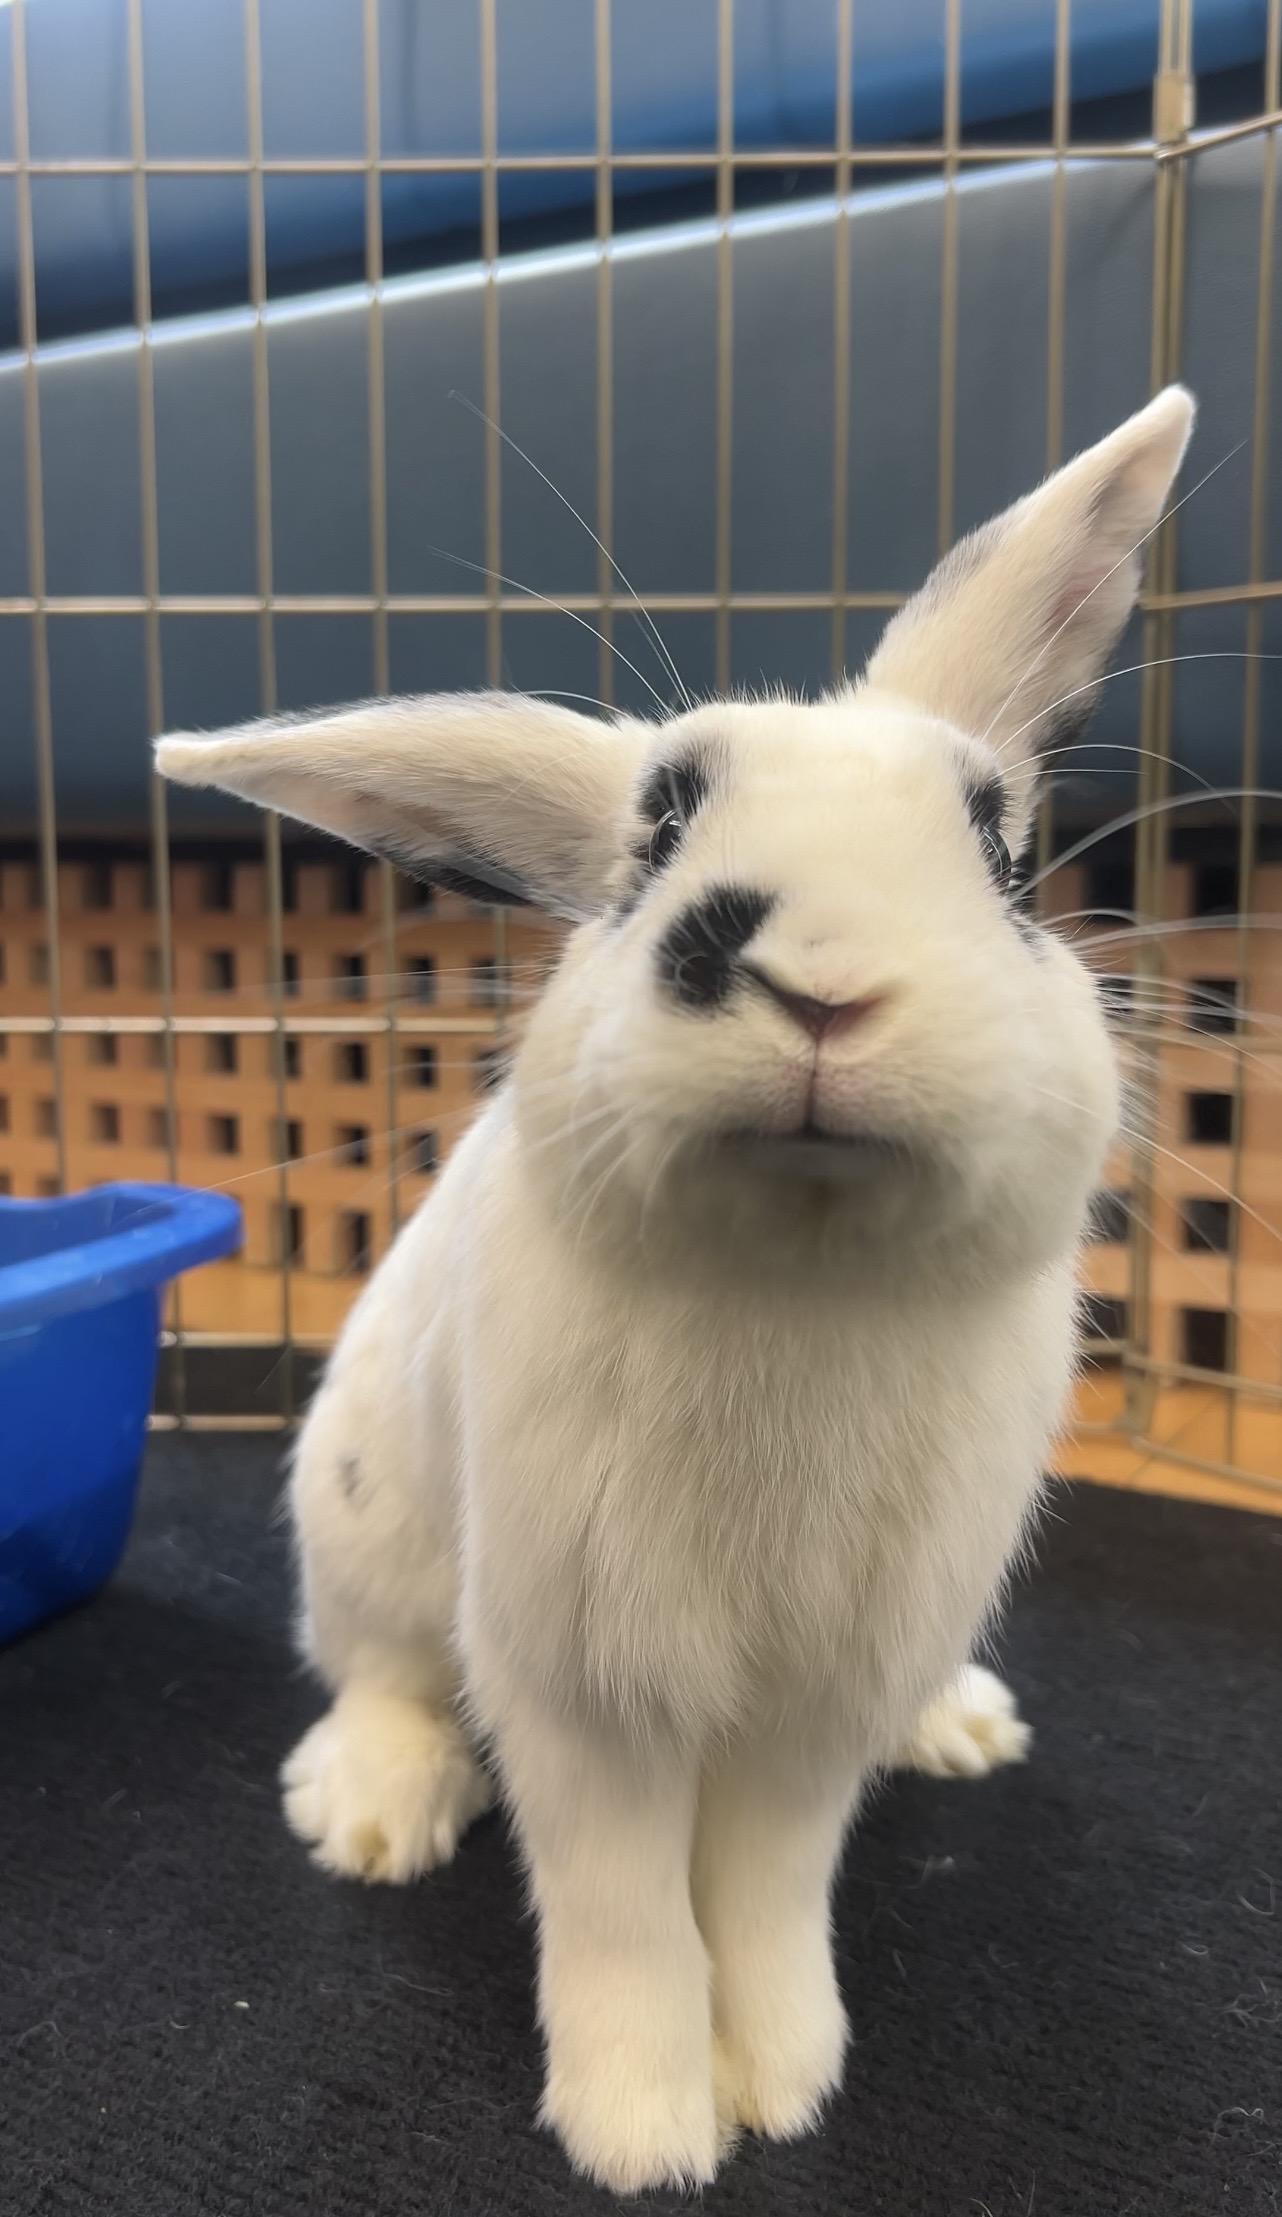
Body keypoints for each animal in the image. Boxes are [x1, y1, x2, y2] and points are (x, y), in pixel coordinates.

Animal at [157, 384, 1193, 2194]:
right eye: (654, 833)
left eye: (1002, 854)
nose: (824, 983)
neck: (796, 1271)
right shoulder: (583, 1679)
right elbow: (628, 1906)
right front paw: (641, 2129)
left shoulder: (817, 1693)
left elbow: (766, 1892)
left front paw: (779, 2077)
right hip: (362, 1529)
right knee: (379, 1672)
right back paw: (370, 1815)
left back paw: (960, 1728)